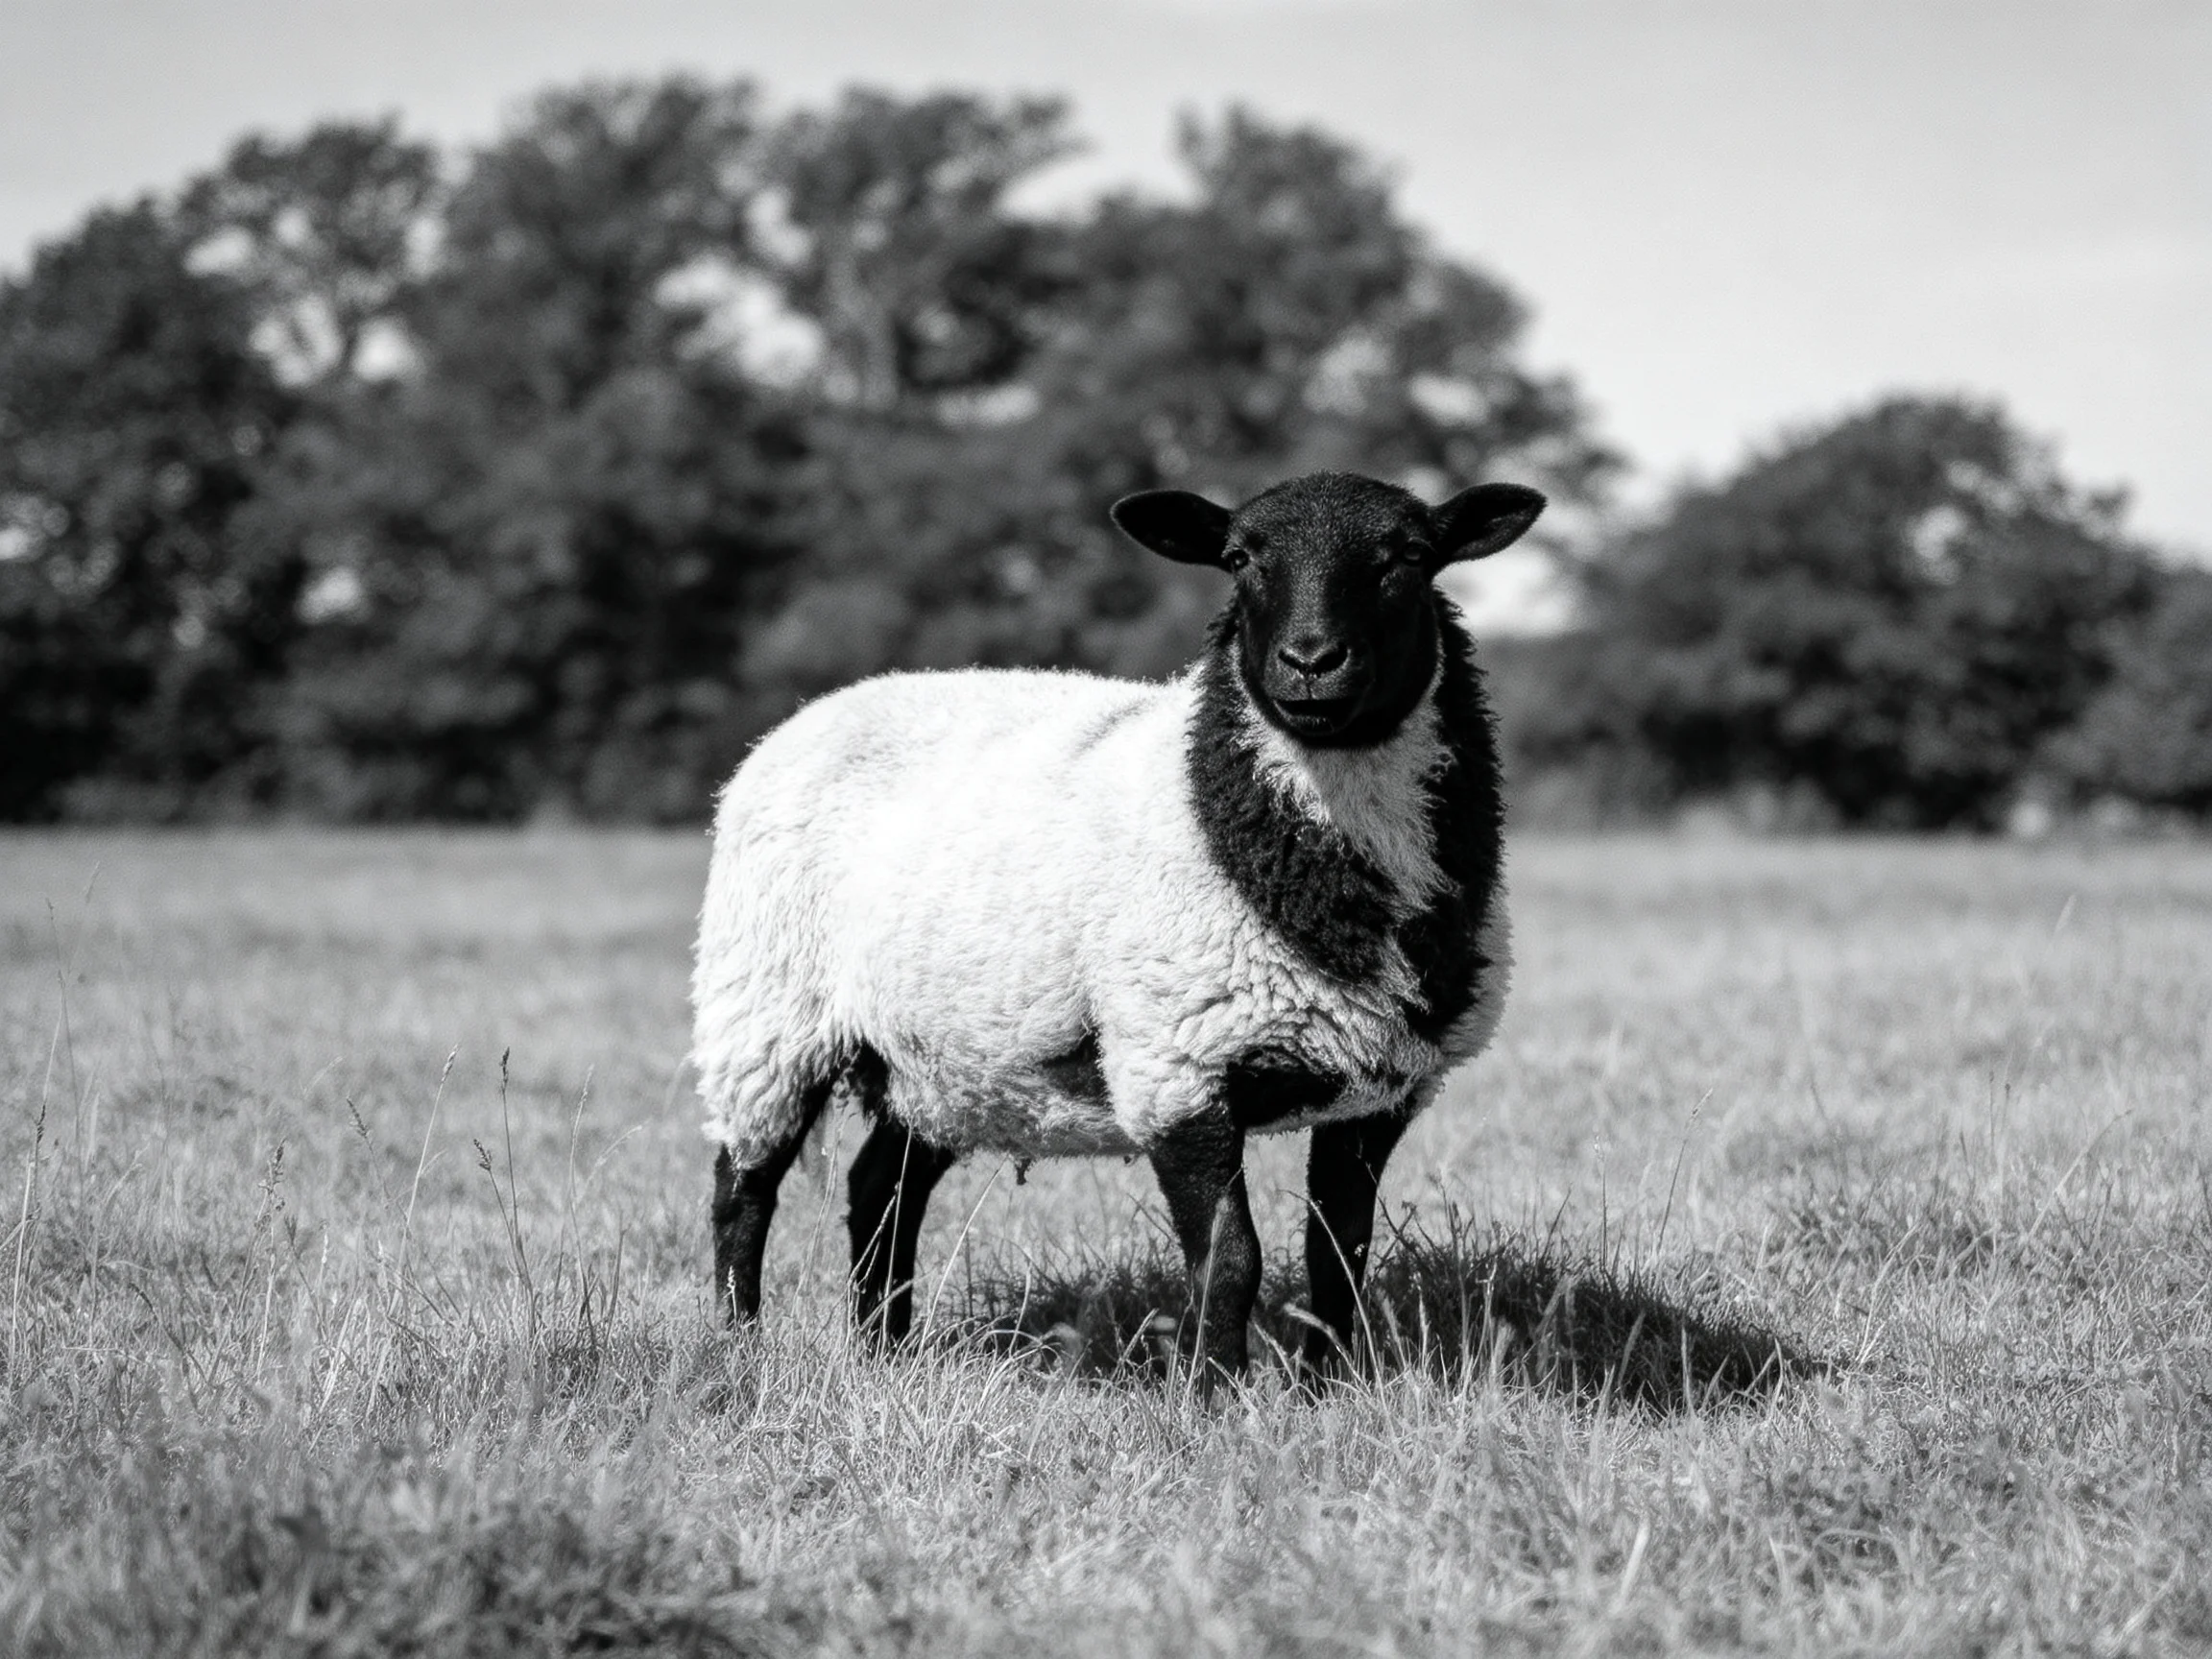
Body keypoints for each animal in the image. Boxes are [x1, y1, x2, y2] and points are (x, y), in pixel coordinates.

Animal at [691, 469, 1543, 1381]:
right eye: (1239, 560)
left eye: (1410, 557)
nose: (1311, 663)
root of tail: (823, 705)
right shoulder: (1175, 1062)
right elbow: (1230, 1261)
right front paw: (1216, 1394)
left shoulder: (1379, 1091)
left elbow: (1339, 1255)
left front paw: (1329, 1389)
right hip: (766, 1009)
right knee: (743, 1187)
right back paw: (738, 1345)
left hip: (939, 1053)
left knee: (881, 1185)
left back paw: (884, 1349)